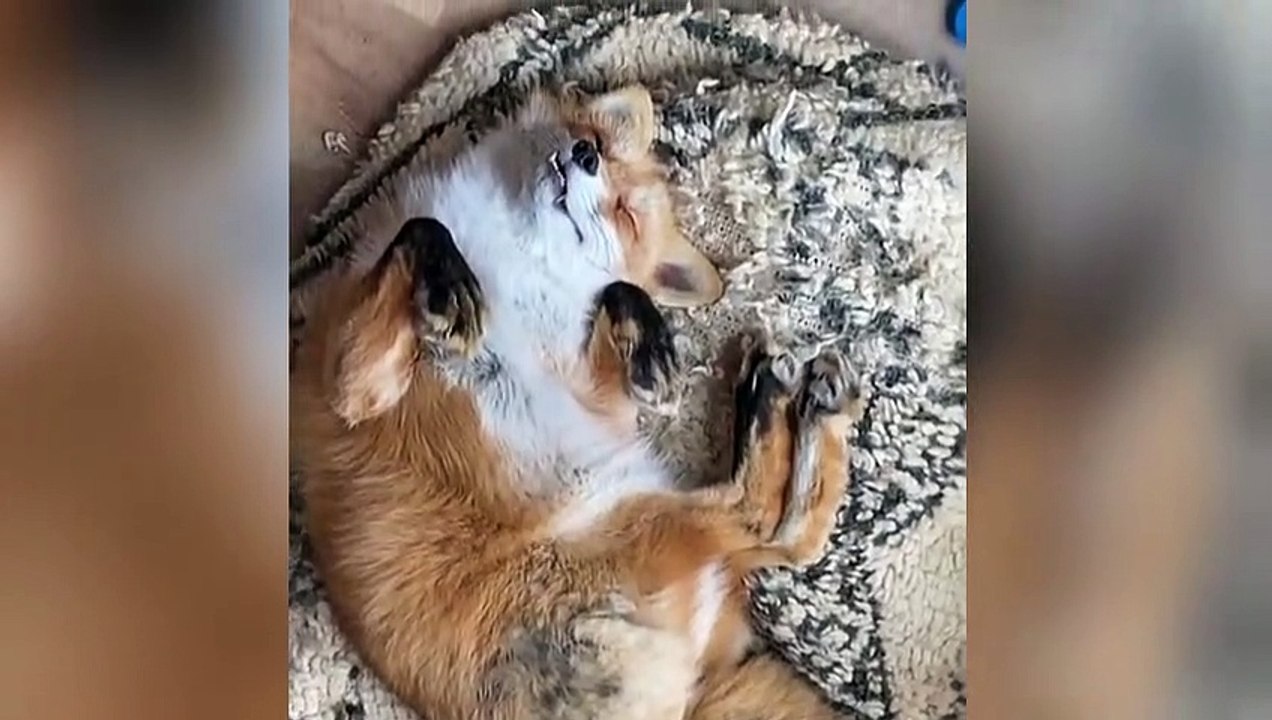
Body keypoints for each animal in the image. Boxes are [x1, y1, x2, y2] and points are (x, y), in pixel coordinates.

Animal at [291, 85, 866, 720]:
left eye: (626, 214)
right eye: (596, 145)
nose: (584, 155)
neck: (514, 262)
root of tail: (694, 693)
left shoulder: (578, 391)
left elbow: (618, 288)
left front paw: (651, 345)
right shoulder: (354, 379)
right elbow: (425, 229)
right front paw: (451, 287)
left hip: (630, 518)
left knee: (771, 524)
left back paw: (789, 399)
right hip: (633, 521)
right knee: (781, 534)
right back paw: (795, 403)